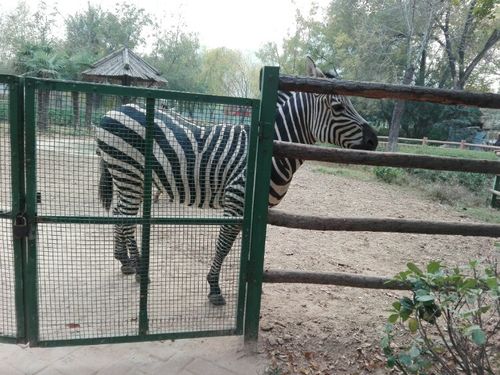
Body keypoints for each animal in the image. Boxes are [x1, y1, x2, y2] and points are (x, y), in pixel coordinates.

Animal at [94, 57, 378, 306]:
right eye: (338, 108)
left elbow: (242, 248)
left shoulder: (253, 209)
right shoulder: (236, 200)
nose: (374, 140)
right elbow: (223, 246)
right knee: (127, 219)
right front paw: (214, 289)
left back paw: (125, 262)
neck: (270, 147)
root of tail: (113, 109)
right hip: (128, 171)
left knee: (120, 213)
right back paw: (139, 269)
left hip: (130, 176)